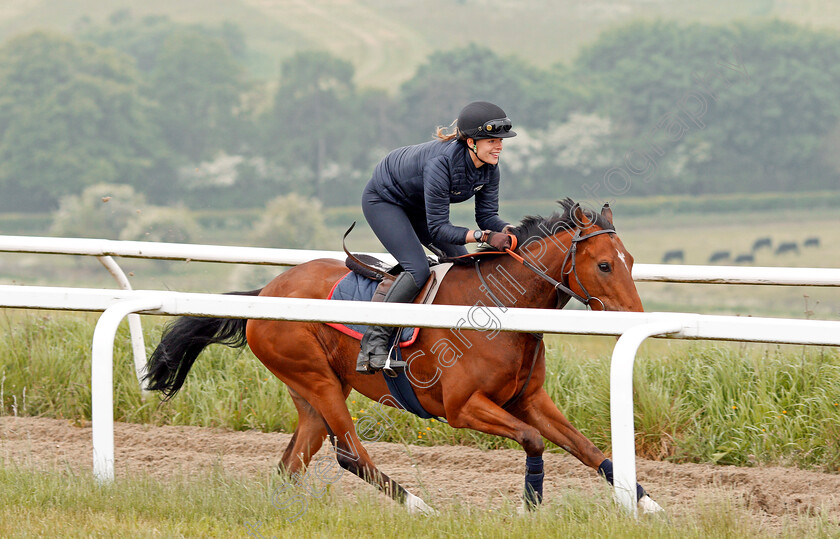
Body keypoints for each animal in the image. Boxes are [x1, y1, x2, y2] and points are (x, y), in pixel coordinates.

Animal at [149, 197, 664, 516]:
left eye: (630, 261)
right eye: (604, 264)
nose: (639, 320)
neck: (497, 310)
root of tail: (268, 290)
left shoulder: (529, 399)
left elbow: (588, 449)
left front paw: (648, 504)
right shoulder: (461, 408)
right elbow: (534, 441)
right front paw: (530, 507)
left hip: (312, 389)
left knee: (293, 461)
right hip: (315, 378)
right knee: (350, 455)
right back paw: (422, 508)